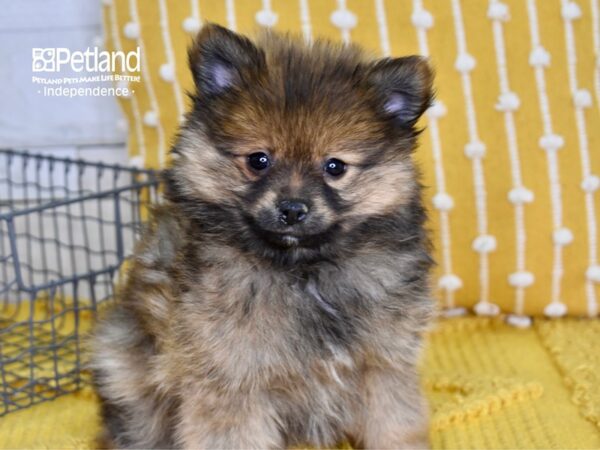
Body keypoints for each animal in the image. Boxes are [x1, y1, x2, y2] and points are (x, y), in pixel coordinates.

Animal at [89, 23, 434, 446]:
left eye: (335, 167)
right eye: (258, 160)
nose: (292, 209)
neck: (304, 273)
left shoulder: (383, 365)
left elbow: (394, 427)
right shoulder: (231, 378)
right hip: (125, 366)